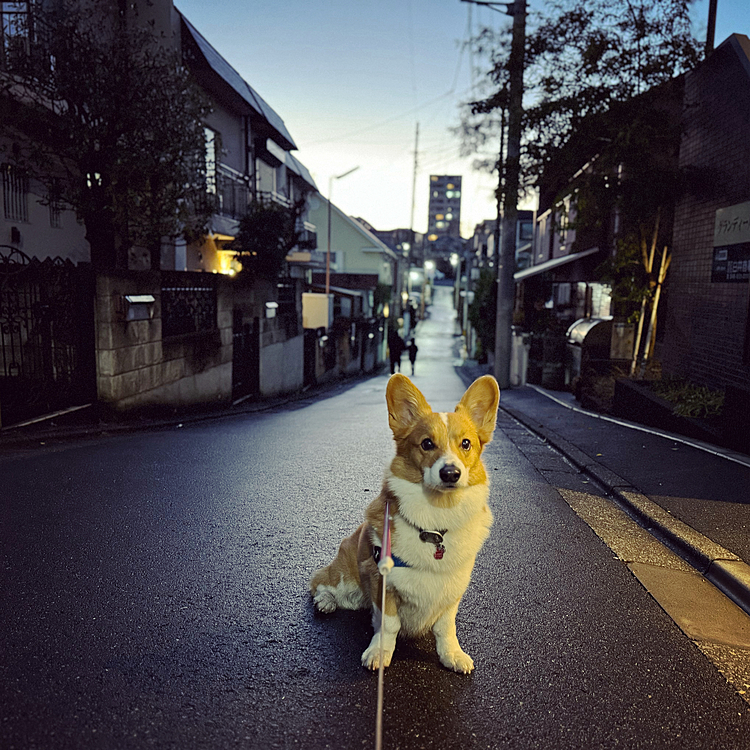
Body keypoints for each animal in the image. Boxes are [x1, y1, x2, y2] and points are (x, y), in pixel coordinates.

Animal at [312, 376, 500, 676]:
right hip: (344, 575)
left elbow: (446, 627)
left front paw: (452, 655)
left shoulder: (452, 590)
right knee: (319, 581)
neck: (436, 521)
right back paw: (325, 602)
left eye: (466, 444)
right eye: (426, 443)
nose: (450, 473)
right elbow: (389, 625)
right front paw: (379, 653)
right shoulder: (383, 584)